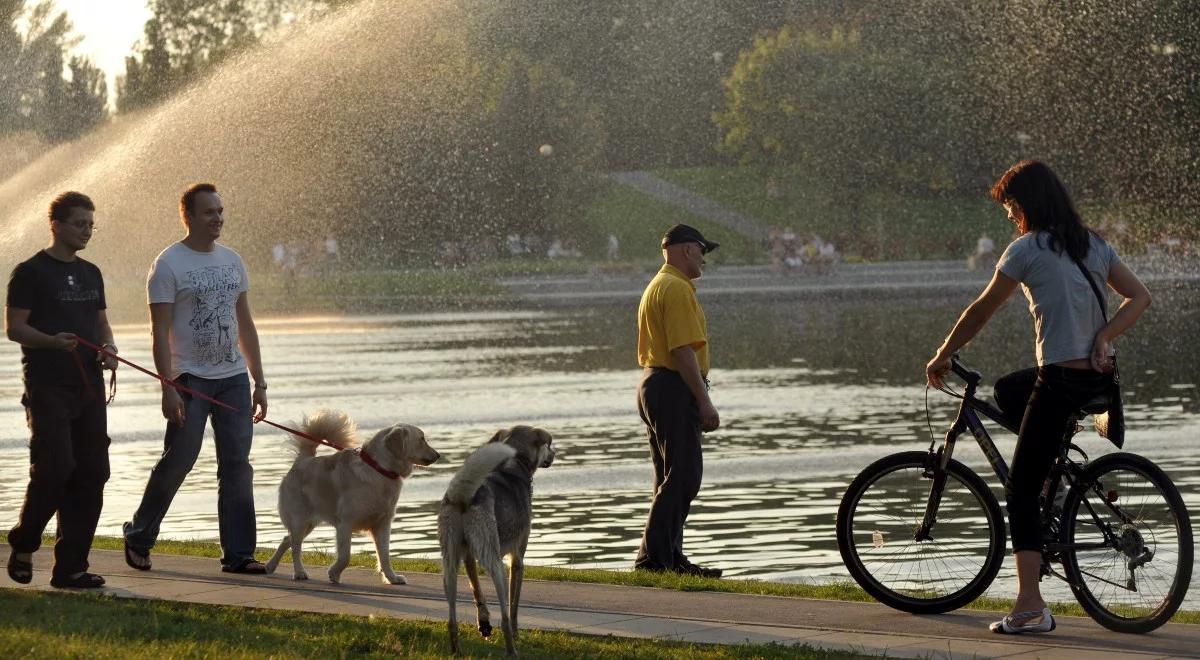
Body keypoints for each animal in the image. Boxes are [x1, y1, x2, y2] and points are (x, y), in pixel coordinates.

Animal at [262, 410, 441, 588]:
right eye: (422, 438)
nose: (438, 455)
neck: (379, 469)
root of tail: (302, 460)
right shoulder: (345, 524)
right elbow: (345, 556)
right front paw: (334, 573)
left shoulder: (383, 524)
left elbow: (385, 556)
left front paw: (392, 578)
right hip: (300, 520)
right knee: (295, 547)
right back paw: (299, 572)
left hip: (308, 523)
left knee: (287, 540)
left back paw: (270, 565)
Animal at [439, 427, 554, 657]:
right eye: (548, 445)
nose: (554, 454)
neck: (514, 465)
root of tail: (463, 495)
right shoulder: (517, 559)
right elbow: (514, 604)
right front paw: (517, 634)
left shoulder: (468, 556)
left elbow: (476, 589)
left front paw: (483, 623)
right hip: (495, 562)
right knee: (504, 616)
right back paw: (511, 650)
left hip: (449, 564)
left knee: (451, 619)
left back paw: (456, 651)